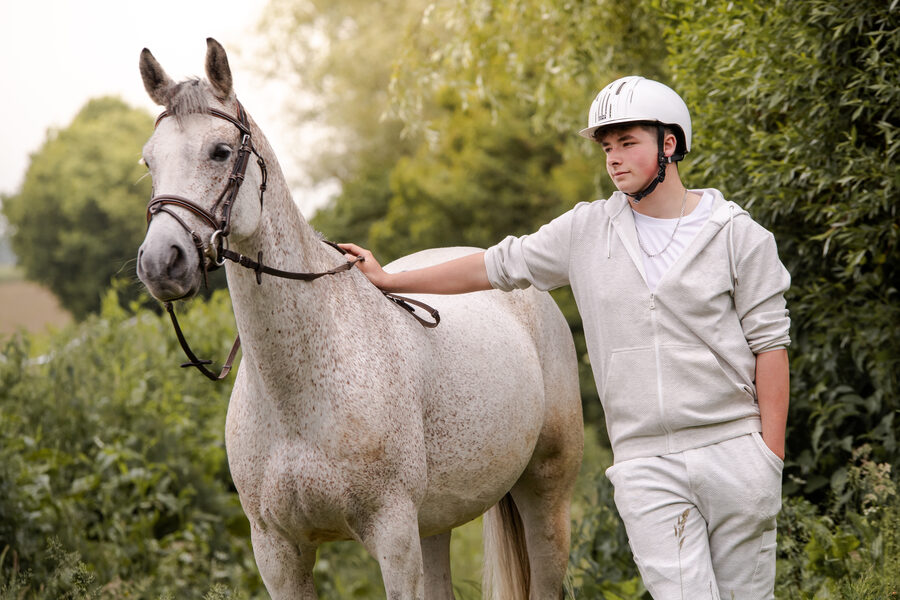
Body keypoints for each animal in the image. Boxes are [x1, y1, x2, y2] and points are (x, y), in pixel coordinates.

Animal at [136, 38, 583, 599]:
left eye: (219, 151)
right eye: (149, 160)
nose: (160, 263)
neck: (296, 398)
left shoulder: (393, 540)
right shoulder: (279, 555)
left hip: (546, 492)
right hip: (435, 525)